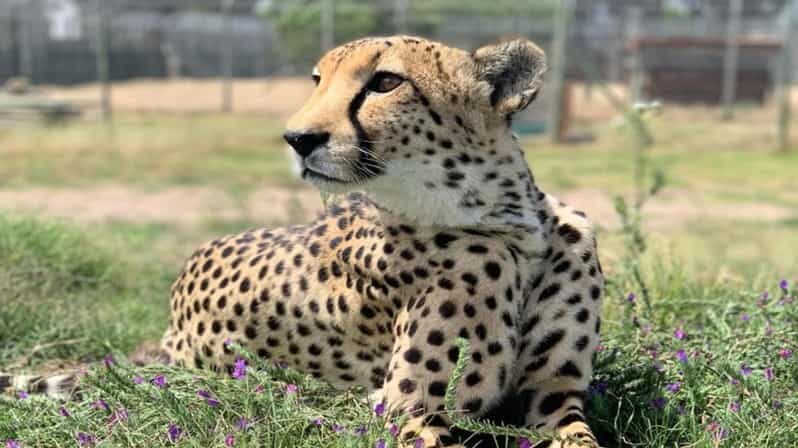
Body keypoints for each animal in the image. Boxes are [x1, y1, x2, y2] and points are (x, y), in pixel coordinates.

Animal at [3, 36, 604, 448]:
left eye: (385, 82)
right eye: (317, 79)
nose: (298, 138)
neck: (511, 224)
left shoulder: (555, 394)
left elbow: (581, 437)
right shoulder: (408, 411)